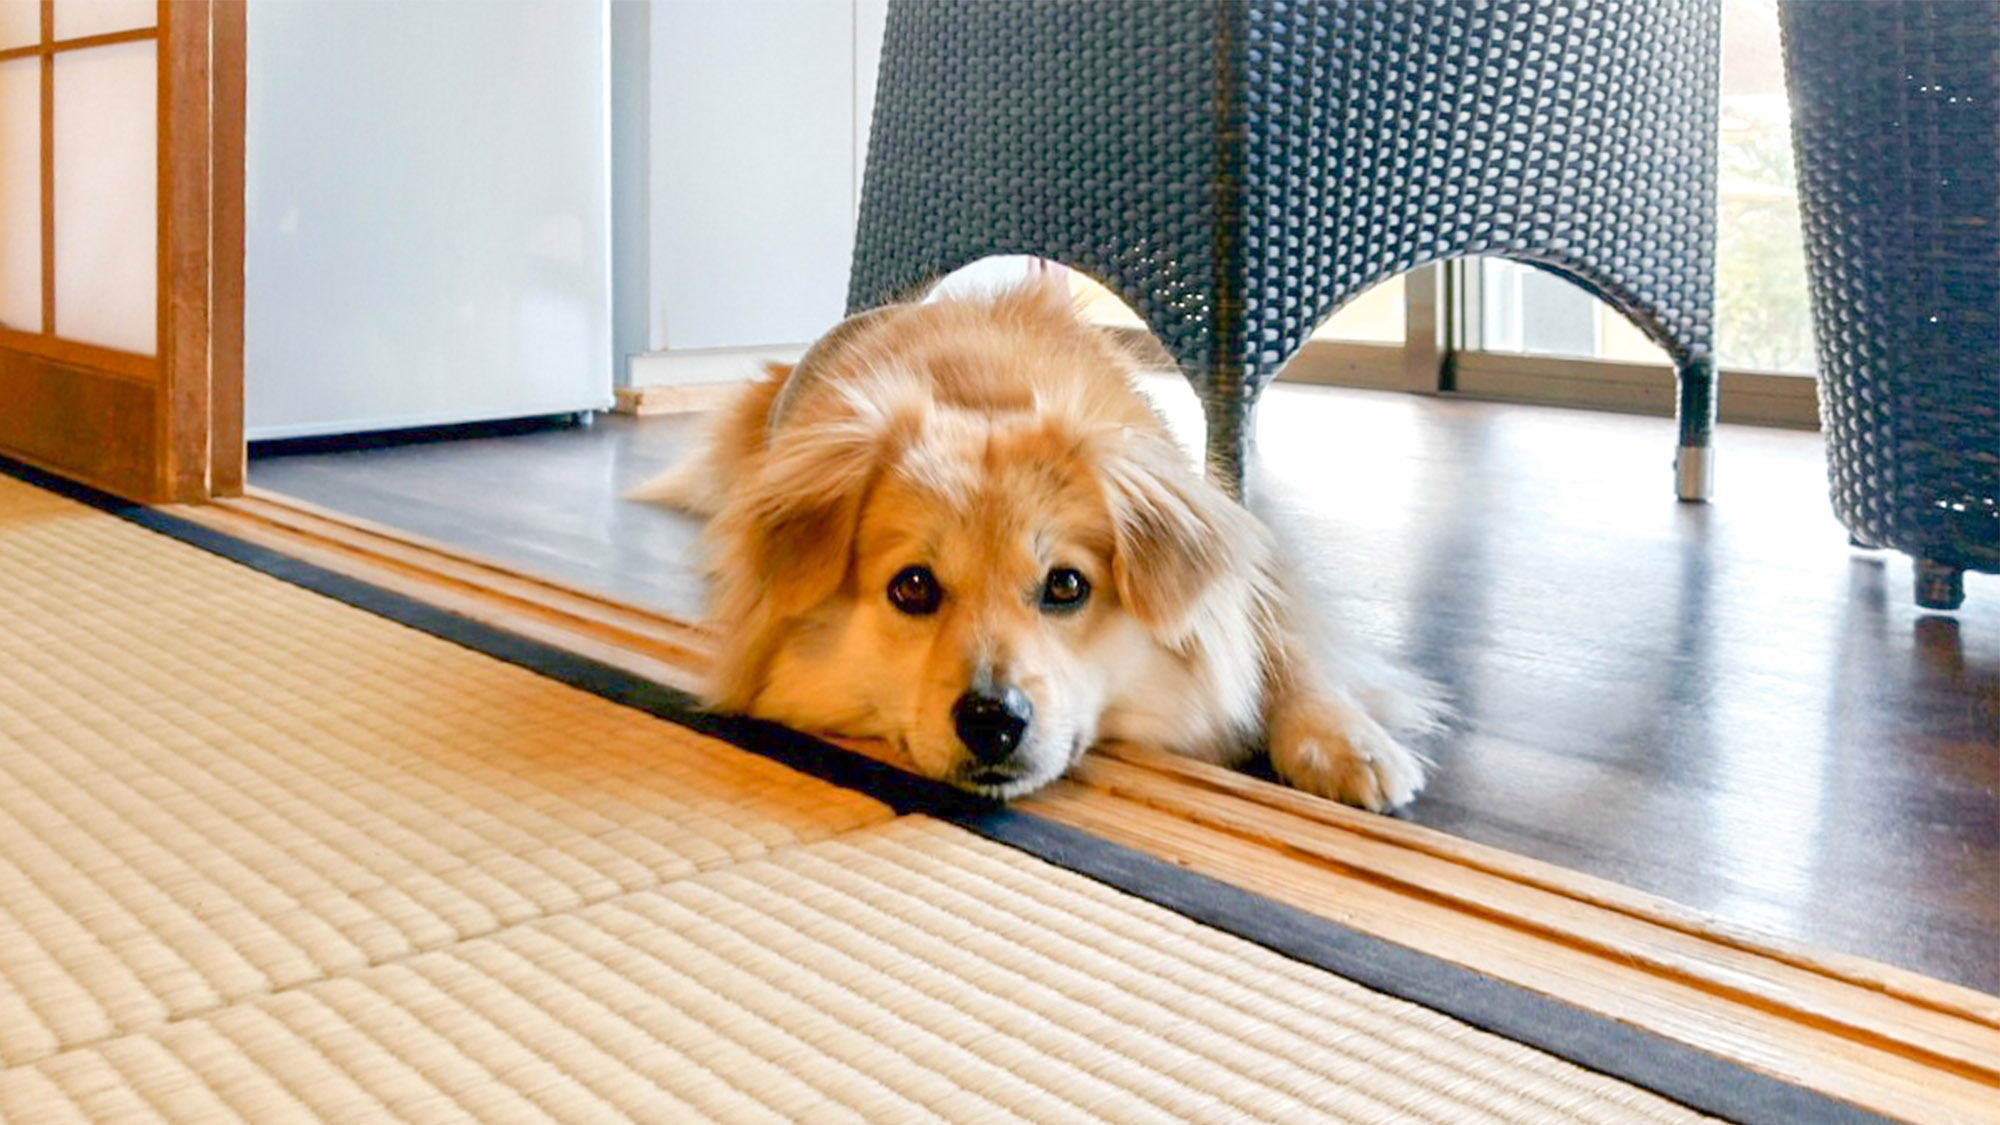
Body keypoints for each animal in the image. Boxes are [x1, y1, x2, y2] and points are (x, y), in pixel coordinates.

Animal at [630, 283, 1438, 810]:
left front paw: (1346, 743)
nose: (992, 721)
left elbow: (1286, 648)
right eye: (912, 586)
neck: (985, 395)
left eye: (1067, 585)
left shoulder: (1251, 579)